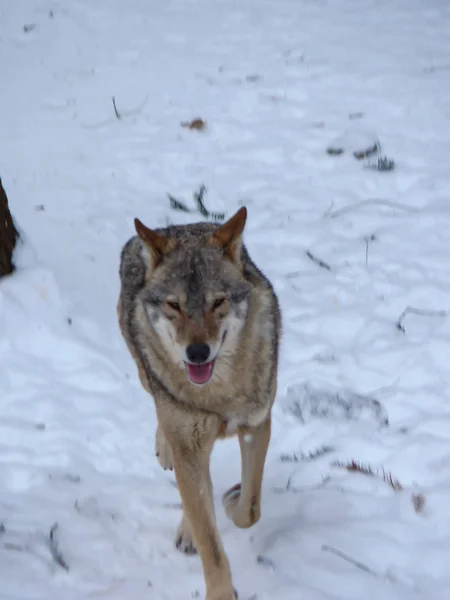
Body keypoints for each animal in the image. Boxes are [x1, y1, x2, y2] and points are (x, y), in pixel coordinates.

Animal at [118, 207, 280, 600]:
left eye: (217, 302)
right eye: (174, 305)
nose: (196, 353)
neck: (218, 394)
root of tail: (176, 226)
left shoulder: (256, 424)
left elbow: (250, 509)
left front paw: (233, 499)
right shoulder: (189, 445)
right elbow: (210, 541)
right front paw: (221, 592)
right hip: (148, 376)